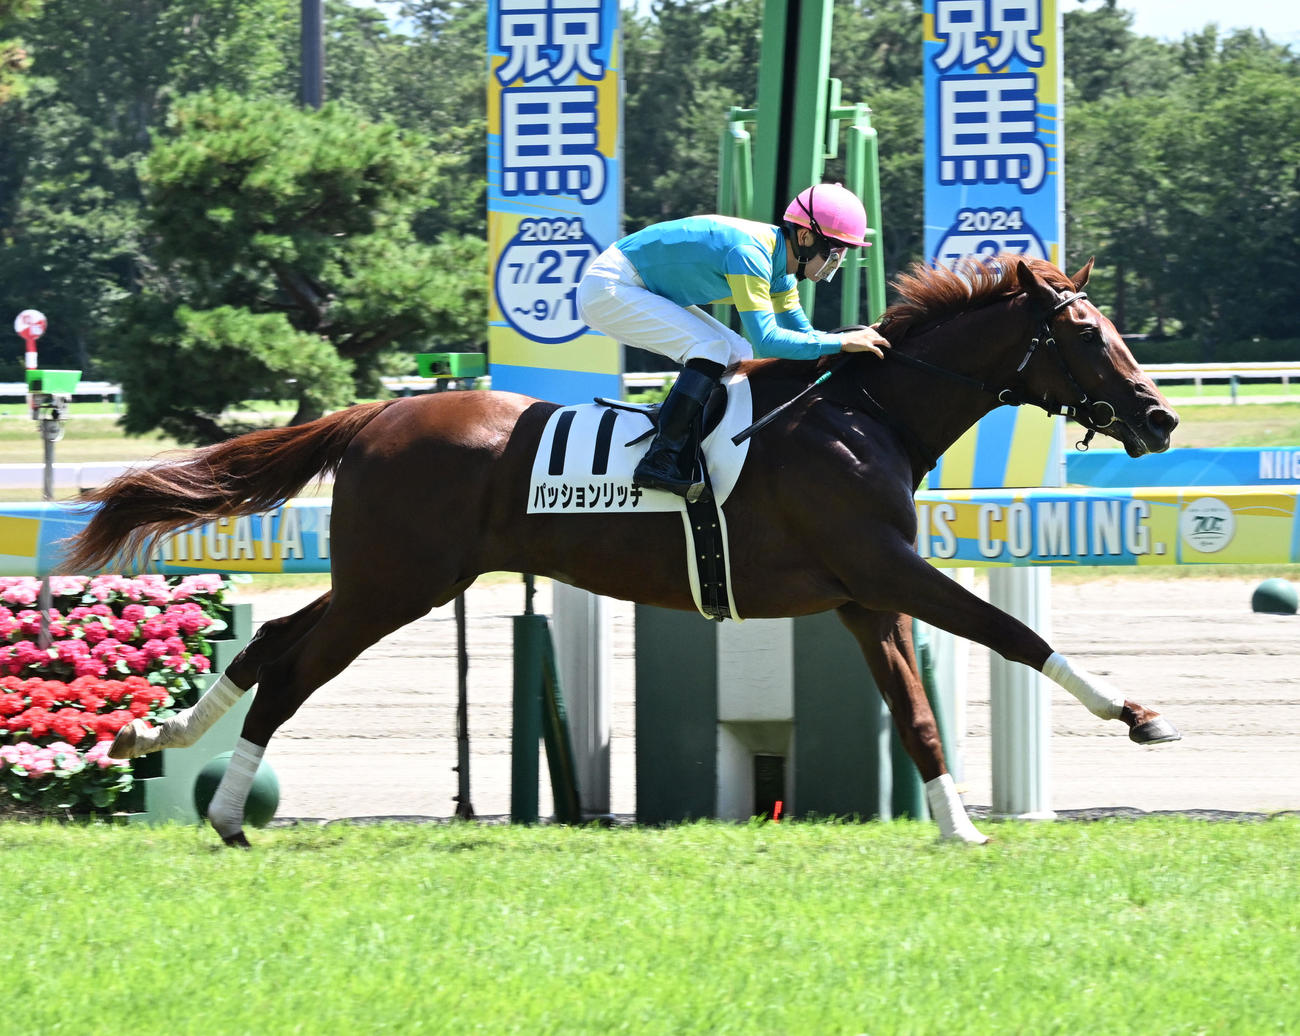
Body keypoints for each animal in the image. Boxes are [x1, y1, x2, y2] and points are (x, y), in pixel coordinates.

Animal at [62, 255, 1181, 847]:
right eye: (1089, 335)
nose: (1162, 417)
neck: (866, 410)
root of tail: (378, 413)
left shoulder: (865, 593)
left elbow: (915, 710)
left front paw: (958, 825)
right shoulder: (882, 567)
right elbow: (1009, 632)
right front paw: (1136, 715)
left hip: (386, 579)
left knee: (270, 642)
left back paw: (169, 732)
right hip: (397, 585)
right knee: (294, 667)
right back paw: (225, 808)